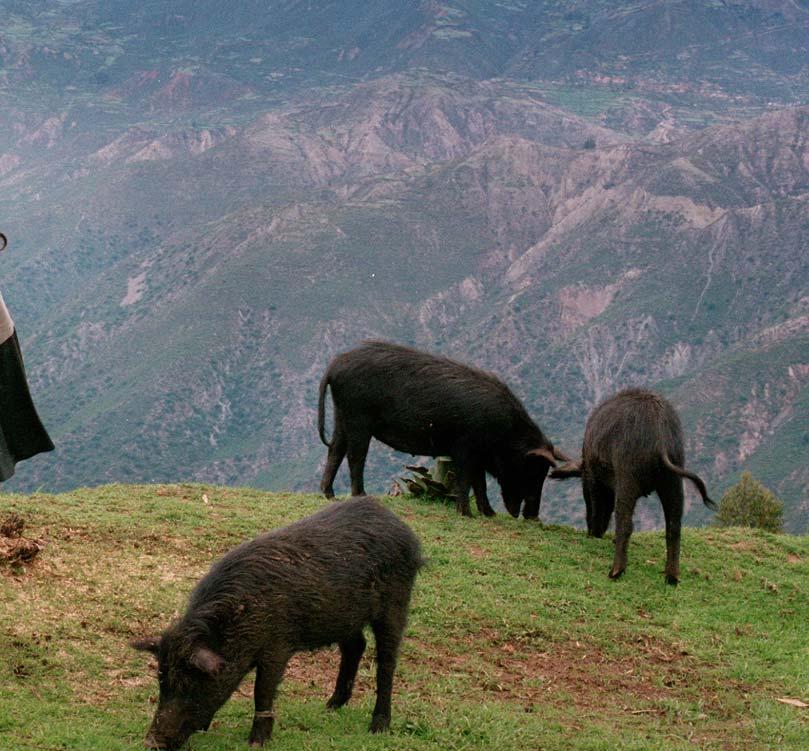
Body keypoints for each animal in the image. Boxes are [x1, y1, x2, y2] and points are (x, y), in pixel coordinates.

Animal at [131, 496, 422, 748]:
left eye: (190, 682)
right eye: (161, 681)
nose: (151, 743)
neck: (236, 623)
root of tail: (402, 527)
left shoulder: (277, 646)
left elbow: (262, 690)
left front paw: (256, 742)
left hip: (396, 602)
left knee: (387, 661)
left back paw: (378, 727)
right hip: (345, 615)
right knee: (356, 646)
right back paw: (330, 707)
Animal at [316, 344, 568, 520]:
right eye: (532, 470)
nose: (532, 516)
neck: (506, 434)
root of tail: (334, 365)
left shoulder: (479, 455)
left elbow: (480, 483)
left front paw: (489, 514)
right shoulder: (466, 448)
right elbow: (466, 480)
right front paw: (466, 515)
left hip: (341, 416)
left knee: (335, 450)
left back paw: (330, 496)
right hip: (358, 417)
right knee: (355, 456)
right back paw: (361, 495)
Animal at [548, 390, 712, 584]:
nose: (593, 533)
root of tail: (660, 436)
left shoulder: (594, 481)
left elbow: (598, 506)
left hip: (627, 475)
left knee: (626, 523)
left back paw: (614, 572)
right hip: (674, 477)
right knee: (674, 525)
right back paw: (671, 578)